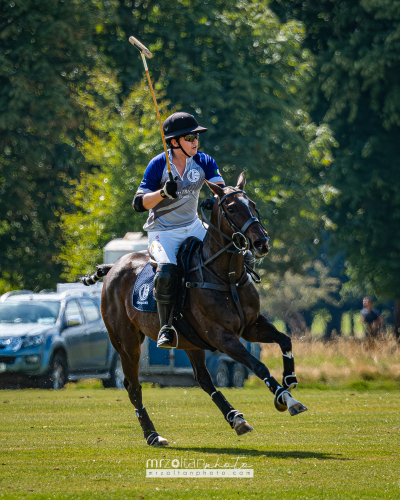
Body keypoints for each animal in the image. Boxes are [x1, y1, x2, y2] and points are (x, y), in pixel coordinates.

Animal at [83, 172, 306, 446]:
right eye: (232, 208)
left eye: (253, 204)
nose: (261, 242)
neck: (227, 276)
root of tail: (113, 267)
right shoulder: (223, 337)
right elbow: (259, 365)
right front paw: (287, 399)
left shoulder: (251, 326)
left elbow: (285, 339)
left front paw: (290, 381)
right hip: (126, 341)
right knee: (132, 385)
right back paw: (153, 435)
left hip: (190, 341)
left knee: (203, 379)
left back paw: (236, 418)